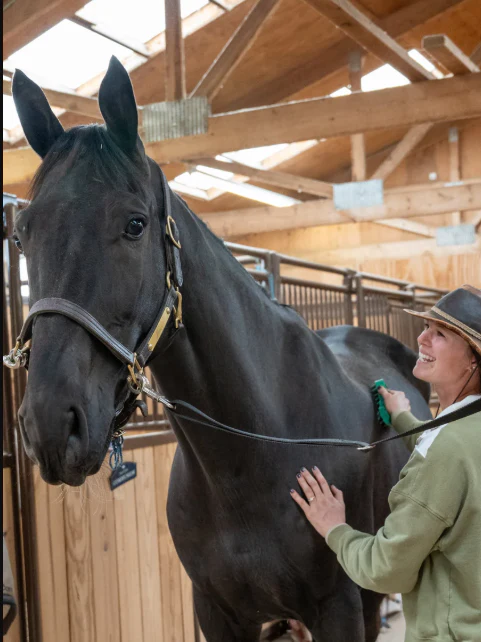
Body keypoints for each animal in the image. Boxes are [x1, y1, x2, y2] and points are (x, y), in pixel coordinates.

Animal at [11, 57, 431, 641]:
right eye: (22, 234)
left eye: (135, 224)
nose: (51, 424)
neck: (250, 456)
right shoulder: (216, 610)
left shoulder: (340, 607)